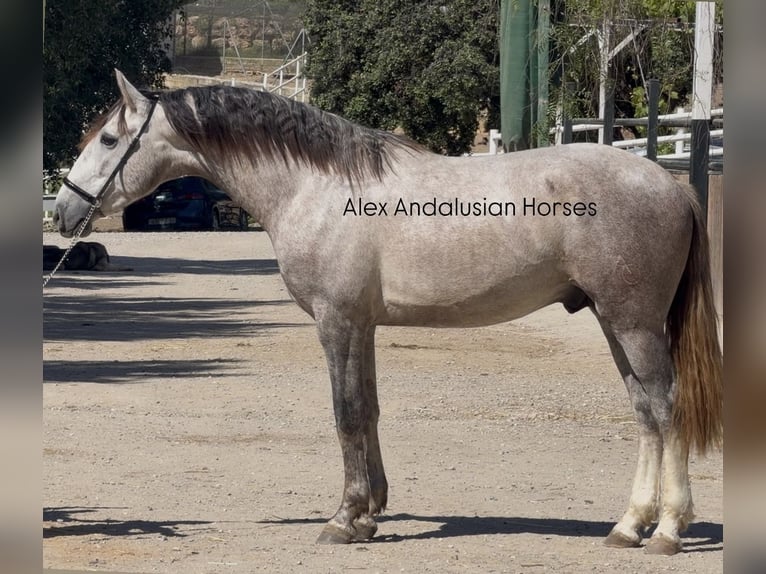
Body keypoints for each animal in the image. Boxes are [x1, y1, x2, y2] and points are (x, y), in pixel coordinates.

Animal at [53, 70, 722, 555]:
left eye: (109, 140)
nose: (63, 211)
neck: (316, 187)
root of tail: (669, 182)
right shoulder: (364, 325)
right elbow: (369, 410)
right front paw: (371, 512)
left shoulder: (338, 322)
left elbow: (346, 414)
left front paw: (344, 519)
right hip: (615, 323)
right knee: (644, 412)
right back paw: (628, 525)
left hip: (633, 323)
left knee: (666, 408)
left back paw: (667, 531)